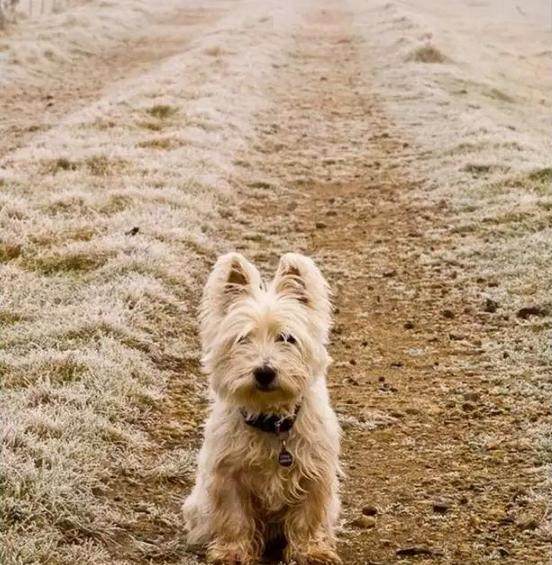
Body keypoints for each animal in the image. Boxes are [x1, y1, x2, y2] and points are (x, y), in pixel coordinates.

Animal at [183, 253, 342, 560]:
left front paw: (311, 551)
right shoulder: (228, 474)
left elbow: (308, 517)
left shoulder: (314, 472)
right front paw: (232, 553)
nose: (264, 372)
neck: (273, 422)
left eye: (287, 337)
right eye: (243, 338)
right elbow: (234, 517)